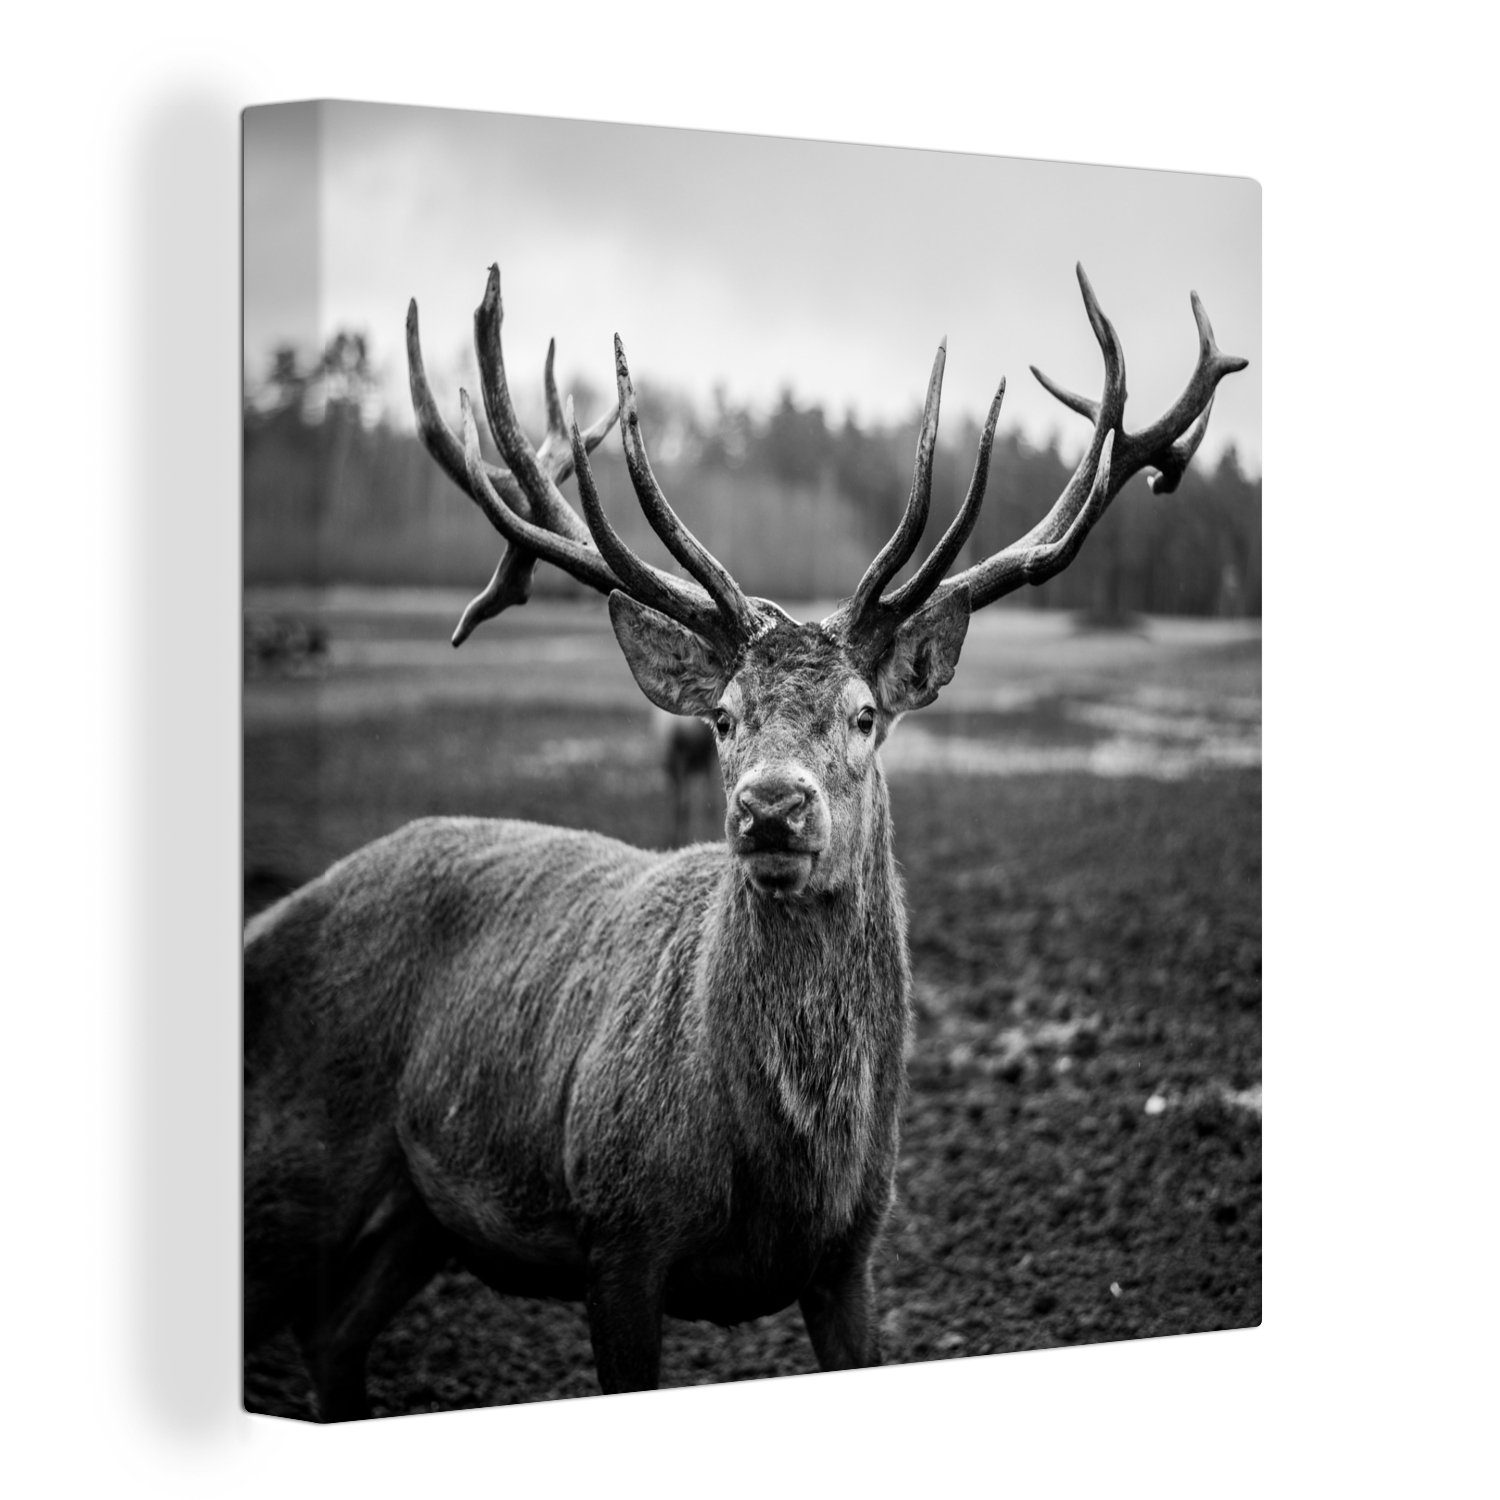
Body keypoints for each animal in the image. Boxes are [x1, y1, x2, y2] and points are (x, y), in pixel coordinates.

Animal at [243, 263, 1246, 1420]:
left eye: (865, 714)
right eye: (723, 717)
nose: (771, 807)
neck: (786, 1171)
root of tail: (266, 925)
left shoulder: (853, 1254)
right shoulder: (619, 1236)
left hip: (416, 1217)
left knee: (332, 1335)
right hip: (290, 1169)